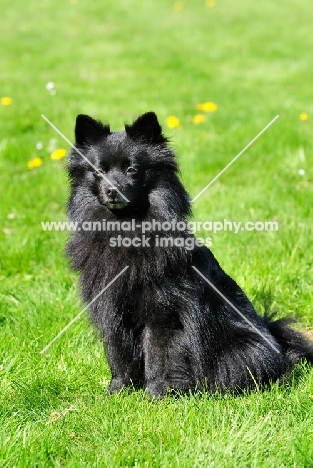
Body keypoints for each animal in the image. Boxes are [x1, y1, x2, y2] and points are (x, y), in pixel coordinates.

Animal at [66, 111, 312, 396]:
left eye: (132, 169)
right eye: (99, 171)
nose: (112, 190)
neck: (125, 227)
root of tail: (278, 345)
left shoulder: (162, 314)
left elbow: (157, 357)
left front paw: (156, 395)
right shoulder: (111, 310)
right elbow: (118, 356)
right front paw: (116, 393)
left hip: (239, 350)